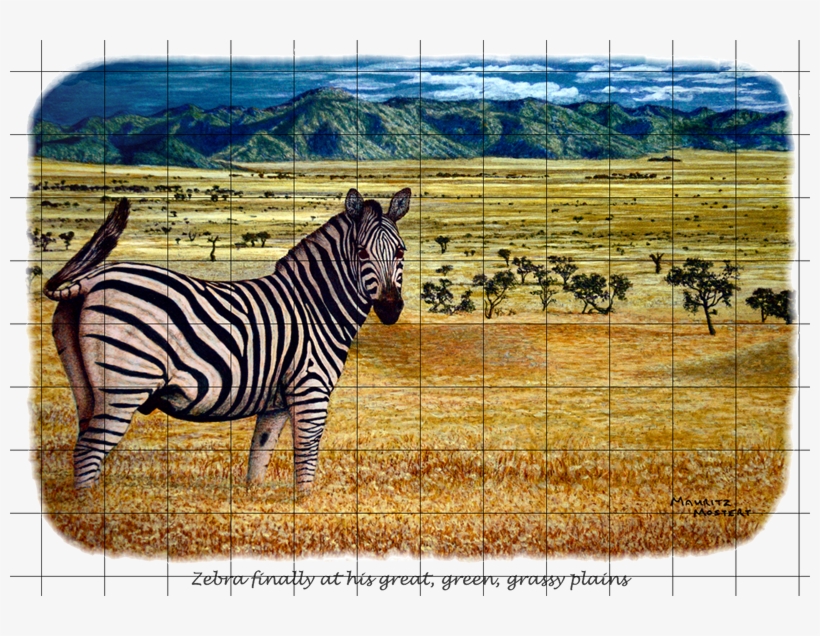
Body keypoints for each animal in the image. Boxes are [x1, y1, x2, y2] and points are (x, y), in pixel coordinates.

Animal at [43, 188, 411, 494]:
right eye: (361, 252)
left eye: (400, 252)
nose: (391, 309)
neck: (314, 305)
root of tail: (92, 280)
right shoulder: (311, 389)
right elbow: (306, 457)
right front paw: (305, 505)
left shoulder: (276, 401)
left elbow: (258, 457)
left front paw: (257, 507)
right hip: (125, 384)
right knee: (89, 452)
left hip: (86, 389)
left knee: (82, 446)